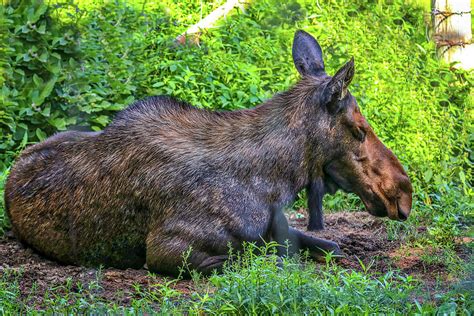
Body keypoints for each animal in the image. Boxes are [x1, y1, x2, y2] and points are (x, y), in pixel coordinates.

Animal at [4, 30, 412, 276]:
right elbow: (247, 256)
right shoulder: (167, 249)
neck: (273, 183)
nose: (403, 191)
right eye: (360, 130)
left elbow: (328, 245)